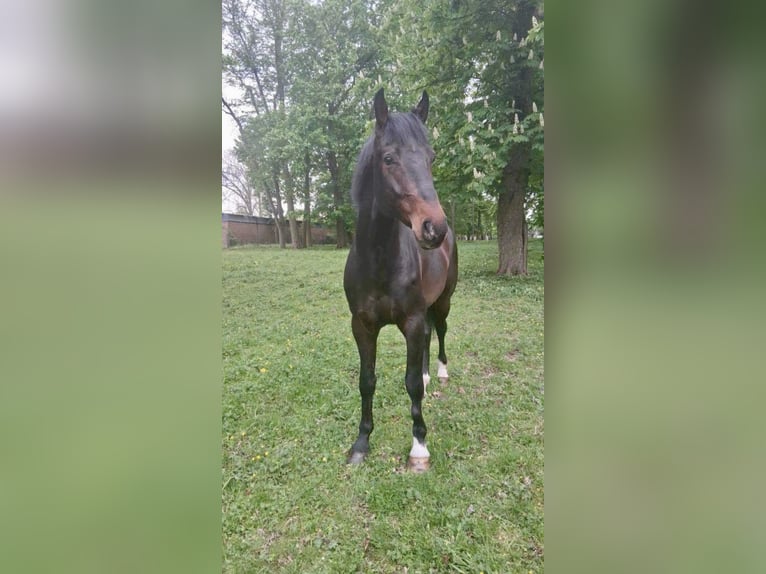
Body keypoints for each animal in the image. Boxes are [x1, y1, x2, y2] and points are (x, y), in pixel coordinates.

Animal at [343, 88, 458, 473]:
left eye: (431, 157)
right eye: (389, 158)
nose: (434, 228)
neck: (379, 261)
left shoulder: (411, 320)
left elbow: (410, 385)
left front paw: (419, 447)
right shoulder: (362, 325)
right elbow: (366, 381)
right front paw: (361, 443)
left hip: (443, 302)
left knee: (439, 332)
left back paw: (439, 373)